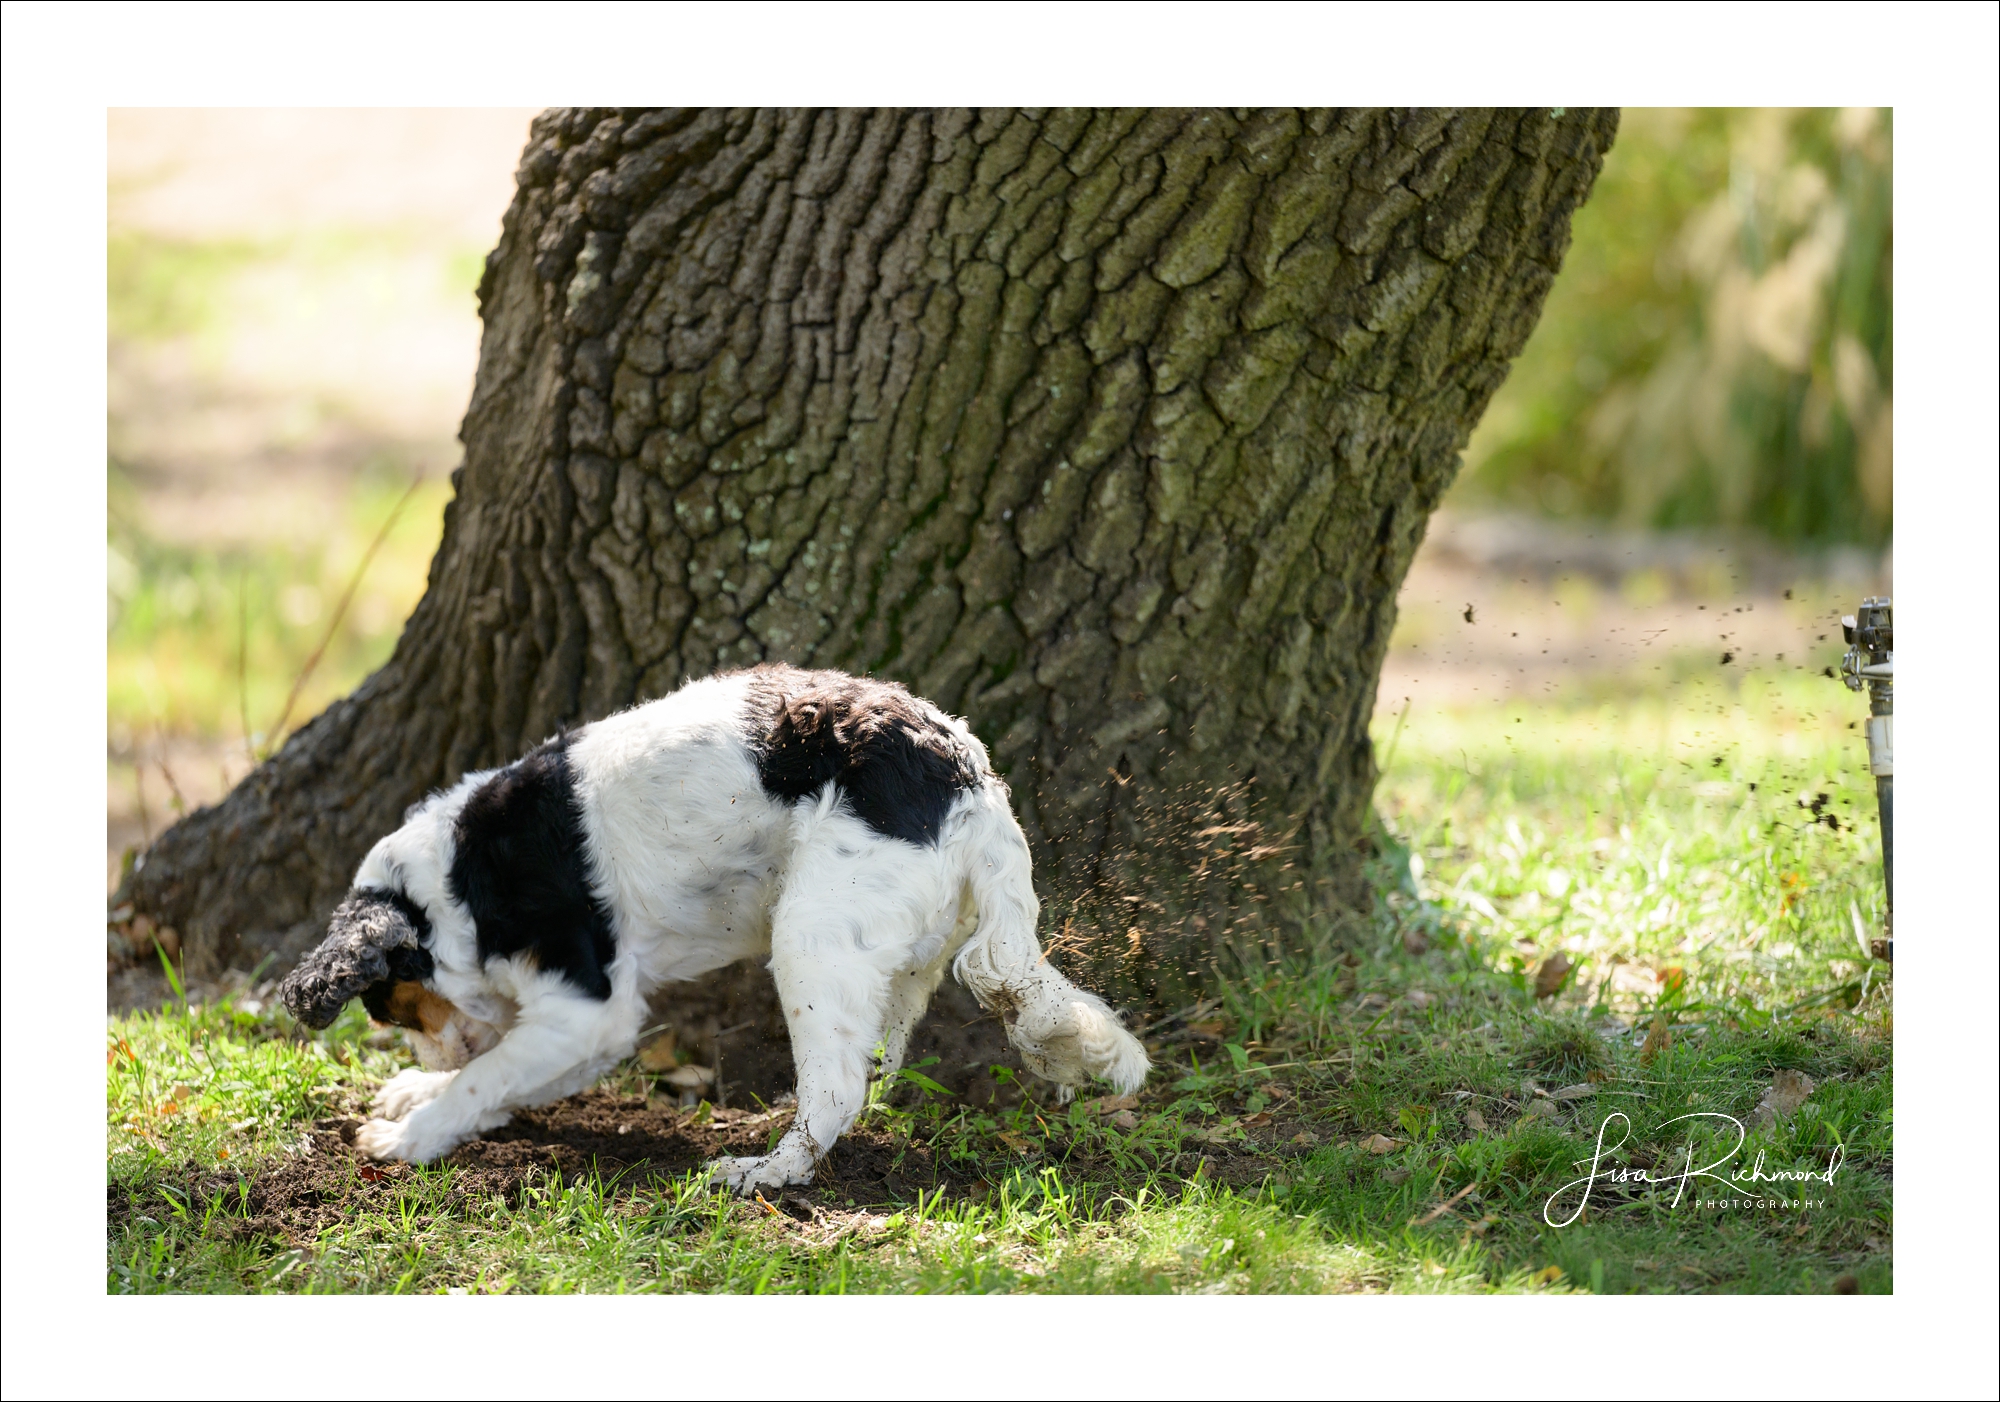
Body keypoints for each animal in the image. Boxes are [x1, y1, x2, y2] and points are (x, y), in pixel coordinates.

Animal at [276, 660, 1152, 1184]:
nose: (427, 1053)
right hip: (892, 957)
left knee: (837, 1087)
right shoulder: (591, 1028)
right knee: (871, 1067)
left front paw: (412, 1133)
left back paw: (765, 1173)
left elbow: (488, 1072)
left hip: (812, 935)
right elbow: (503, 1073)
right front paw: (423, 1093)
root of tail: (972, 785)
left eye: (388, 1010)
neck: (455, 880)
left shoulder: (589, 1006)